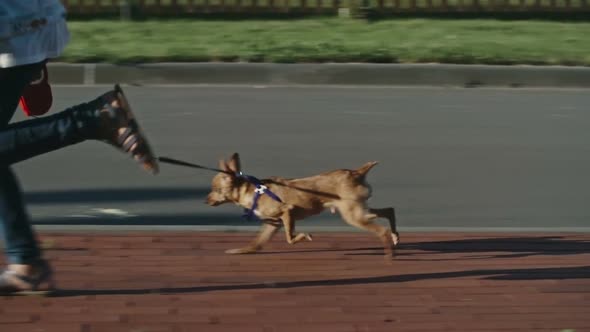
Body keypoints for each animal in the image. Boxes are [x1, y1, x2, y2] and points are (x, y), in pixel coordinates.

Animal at [206, 153, 400, 260]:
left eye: (216, 190)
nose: (205, 201)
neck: (253, 191)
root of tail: (357, 172)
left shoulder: (287, 212)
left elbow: (290, 238)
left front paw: (304, 236)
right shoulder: (272, 224)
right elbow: (258, 242)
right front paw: (242, 251)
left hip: (353, 215)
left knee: (381, 230)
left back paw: (389, 252)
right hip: (359, 209)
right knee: (389, 210)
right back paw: (395, 237)